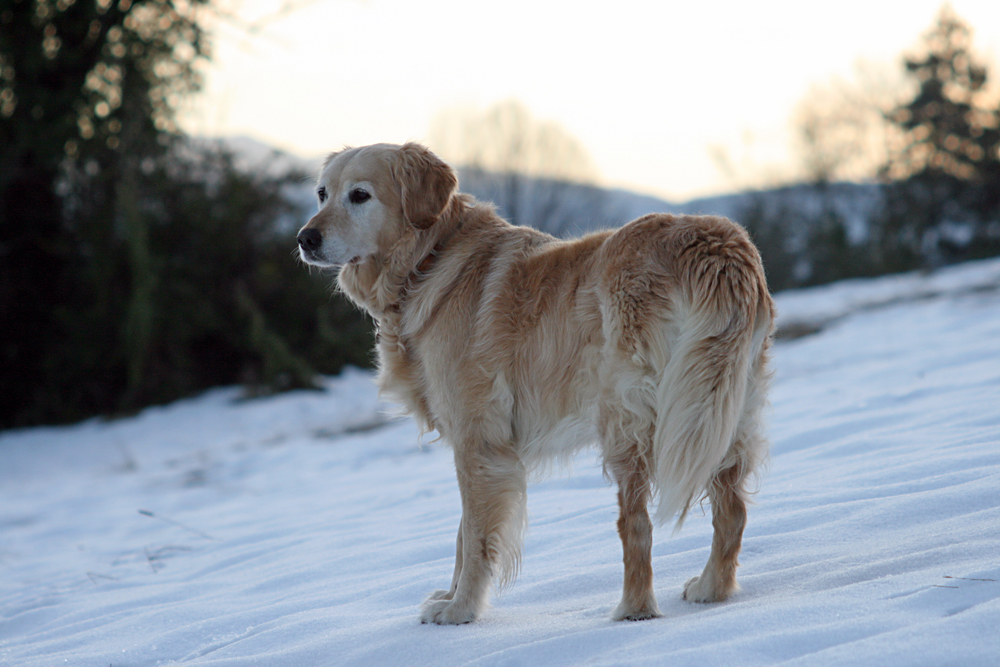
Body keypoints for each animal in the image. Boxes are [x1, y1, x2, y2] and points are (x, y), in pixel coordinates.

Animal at [294, 142, 772, 628]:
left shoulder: (478, 440)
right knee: (732, 510)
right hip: (718, 407)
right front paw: (449, 598)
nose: (305, 239)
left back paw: (634, 610)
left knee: (637, 525)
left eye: (359, 195)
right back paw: (712, 589)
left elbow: (474, 536)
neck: (428, 261)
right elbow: (462, 532)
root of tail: (716, 244)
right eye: (321, 193)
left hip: (631, 417)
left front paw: (461, 610)